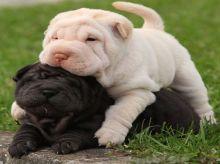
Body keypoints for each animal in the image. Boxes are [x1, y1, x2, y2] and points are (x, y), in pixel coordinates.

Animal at [8, 62, 199, 158]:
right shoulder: (31, 122)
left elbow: (75, 132)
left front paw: (64, 143)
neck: (53, 121)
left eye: (72, 84)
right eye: (34, 80)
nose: (49, 90)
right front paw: (18, 146)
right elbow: (25, 131)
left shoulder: (92, 126)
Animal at [11, 0, 215, 145]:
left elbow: (120, 112)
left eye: (91, 39)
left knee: (198, 99)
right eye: (55, 38)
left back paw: (209, 121)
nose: (60, 54)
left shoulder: (136, 92)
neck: (104, 74)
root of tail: (155, 29)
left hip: (186, 75)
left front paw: (109, 134)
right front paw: (17, 107)